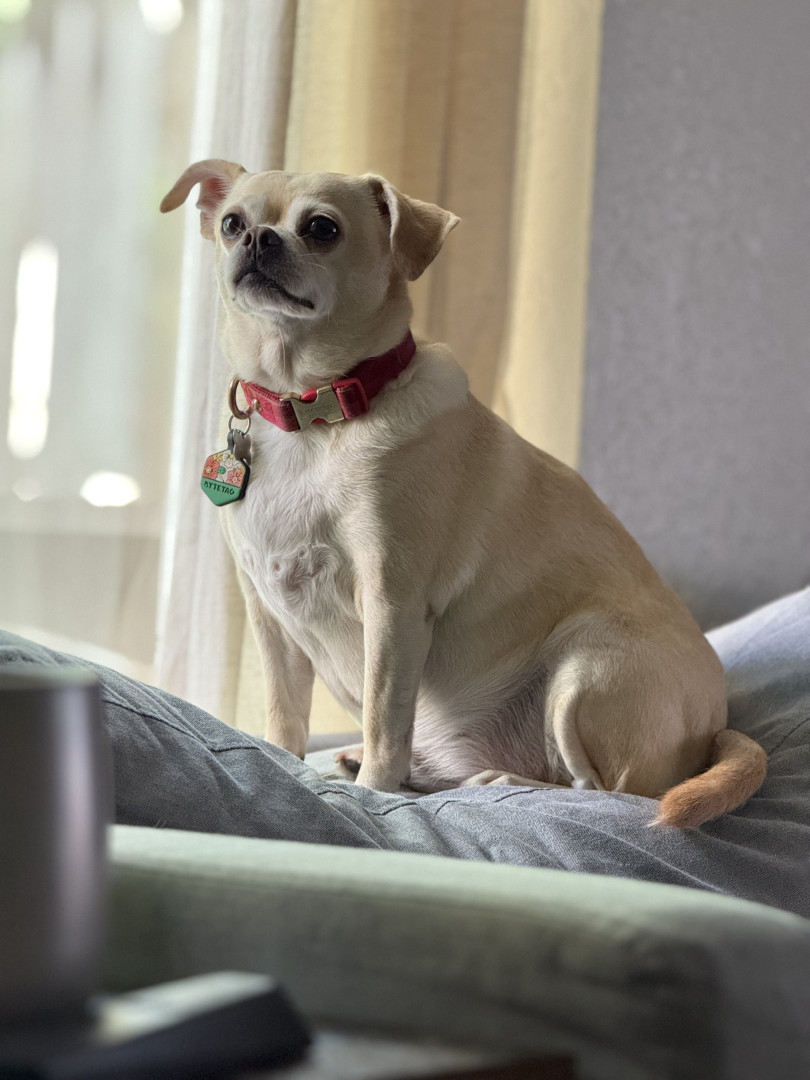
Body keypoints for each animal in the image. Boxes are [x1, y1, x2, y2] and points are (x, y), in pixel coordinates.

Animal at [161, 160, 767, 827]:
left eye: (321, 229)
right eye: (231, 224)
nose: (257, 238)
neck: (314, 413)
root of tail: (719, 724)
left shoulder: (393, 607)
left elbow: (386, 719)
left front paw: (371, 791)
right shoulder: (270, 616)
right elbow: (285, 714)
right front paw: (285, 762)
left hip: (586, 667)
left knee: (611, 792)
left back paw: (499, 779)